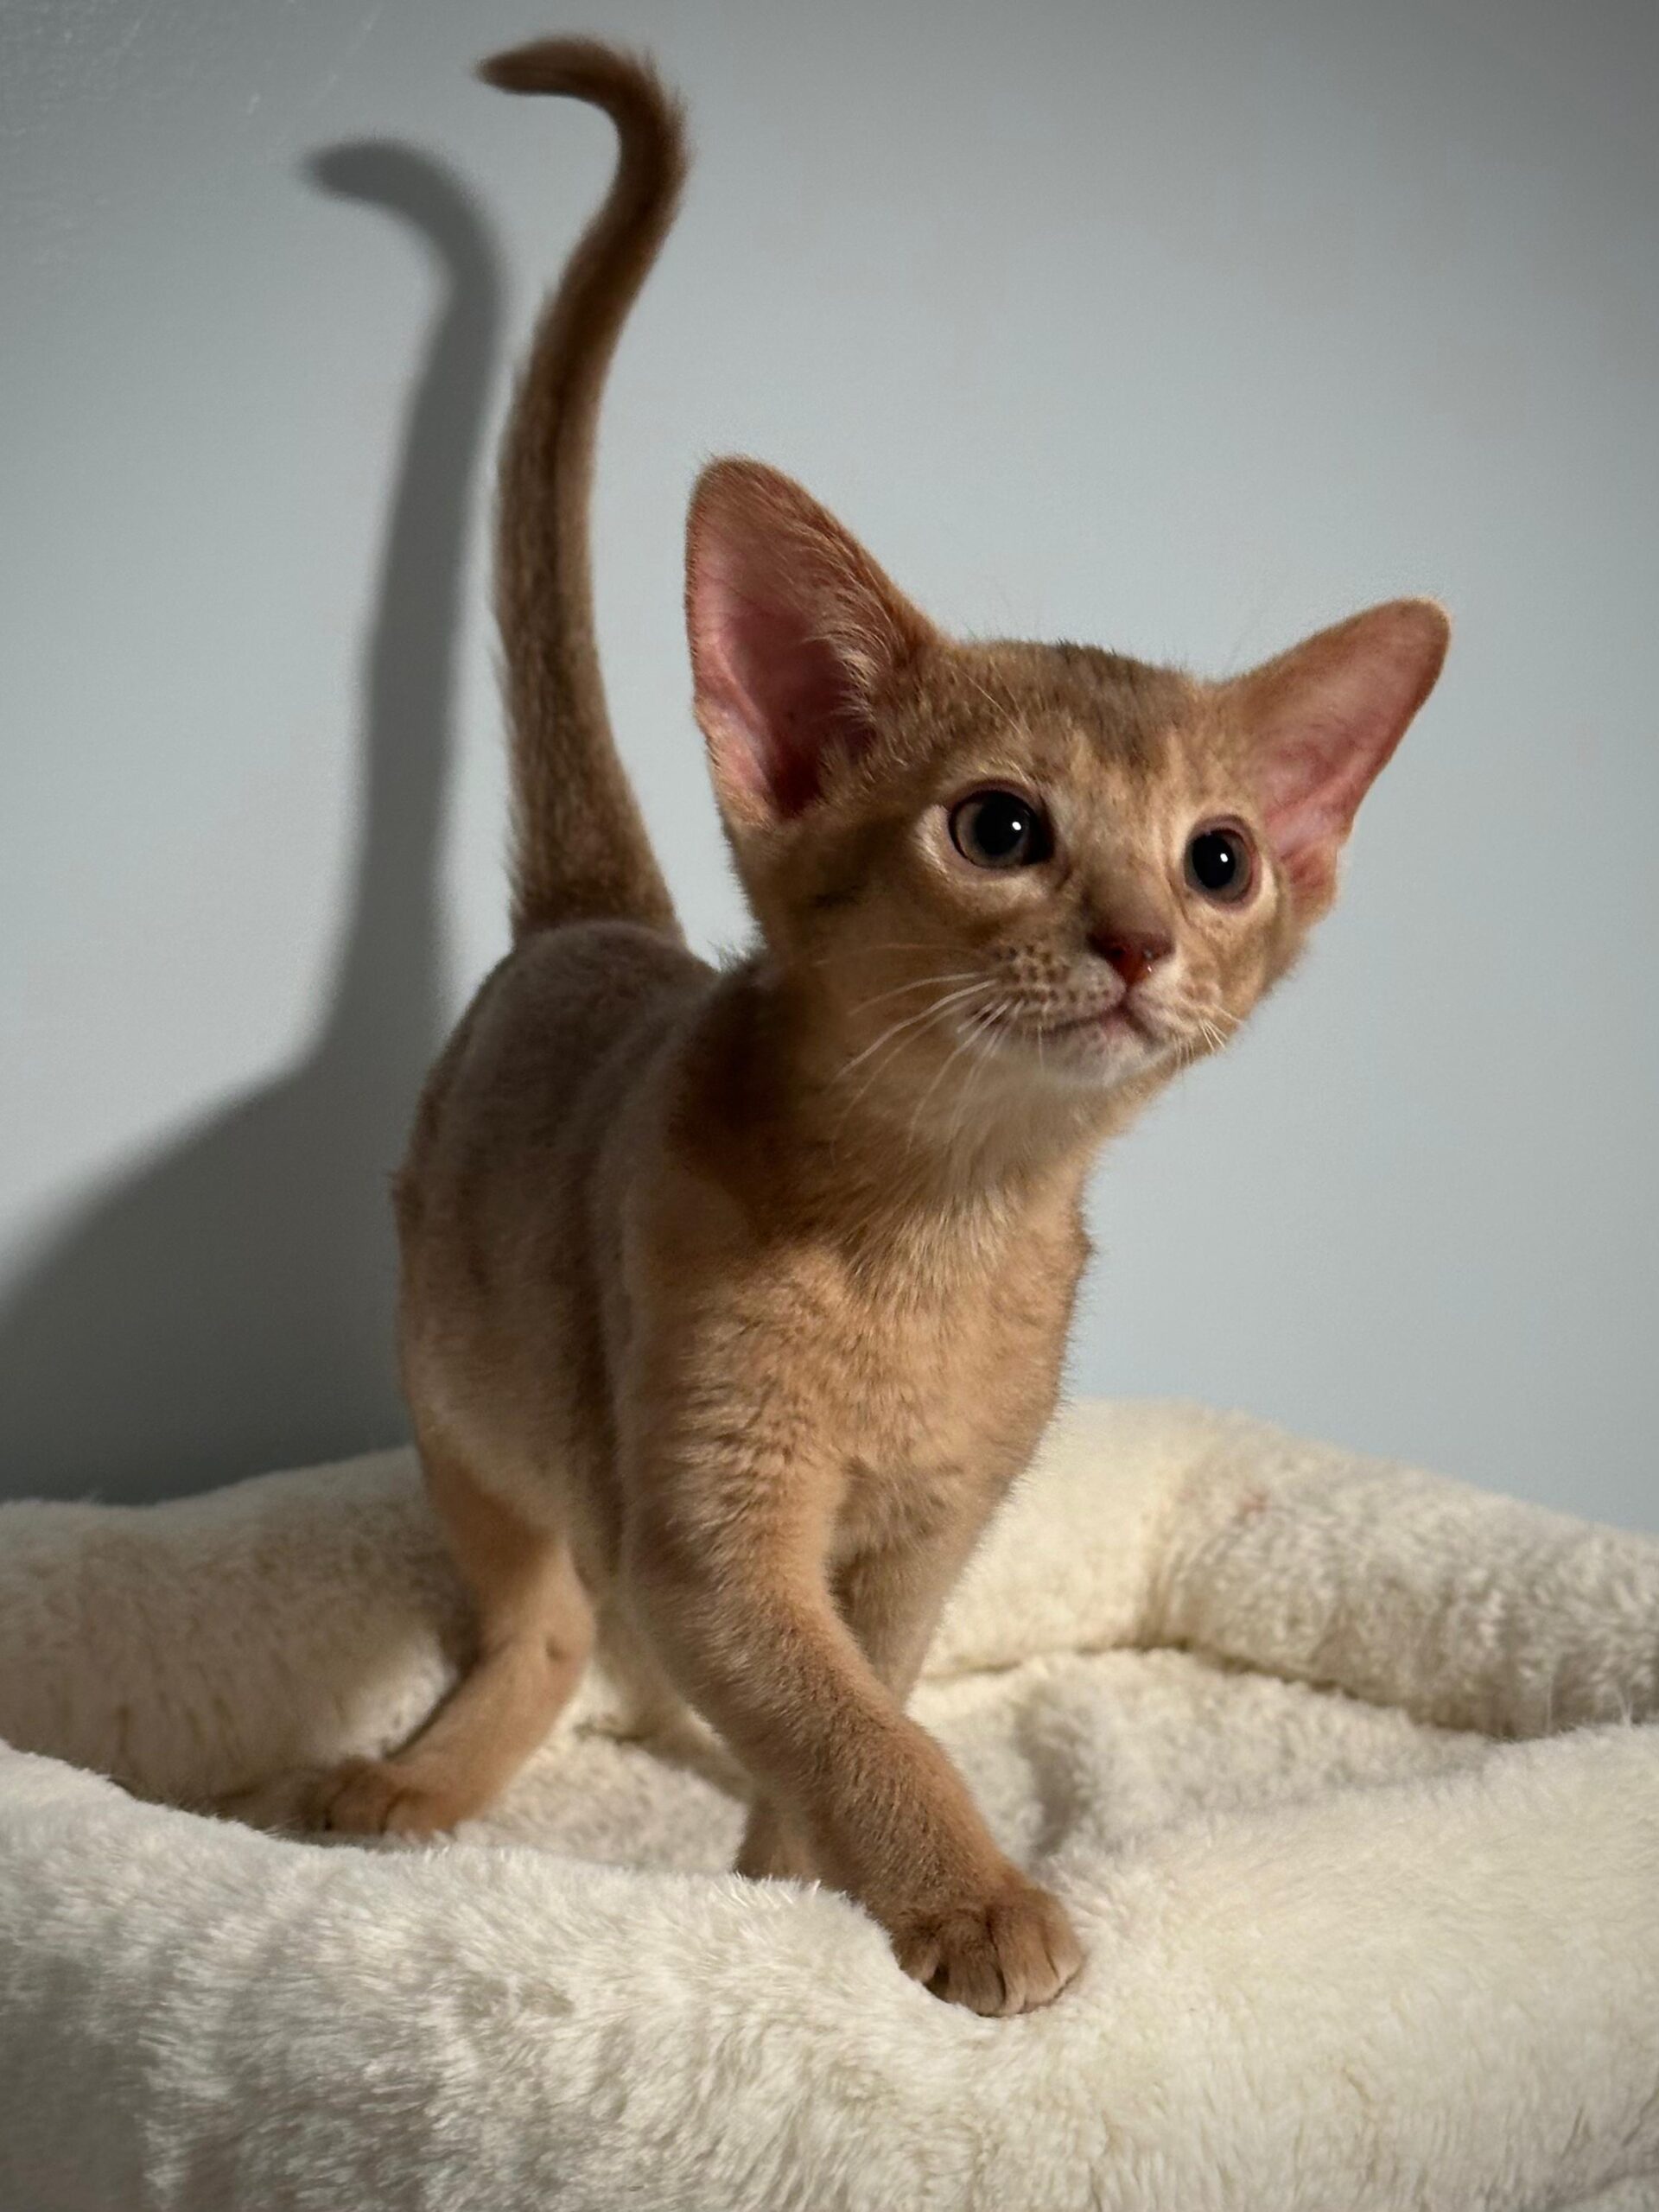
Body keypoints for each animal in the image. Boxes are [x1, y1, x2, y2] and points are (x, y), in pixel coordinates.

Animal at [303, 35, 1449, 2017]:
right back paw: (410, 1785)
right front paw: (967, 1899)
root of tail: (596, 917)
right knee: (541, 1622)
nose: (1143, 939)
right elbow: (854, 1726)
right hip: (459, 1383)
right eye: (1000, 828)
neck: (940, 1216)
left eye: (1222, 858)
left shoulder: (934, 1526)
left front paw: (798, 1900)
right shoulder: (708, 1530)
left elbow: (859, 1703)